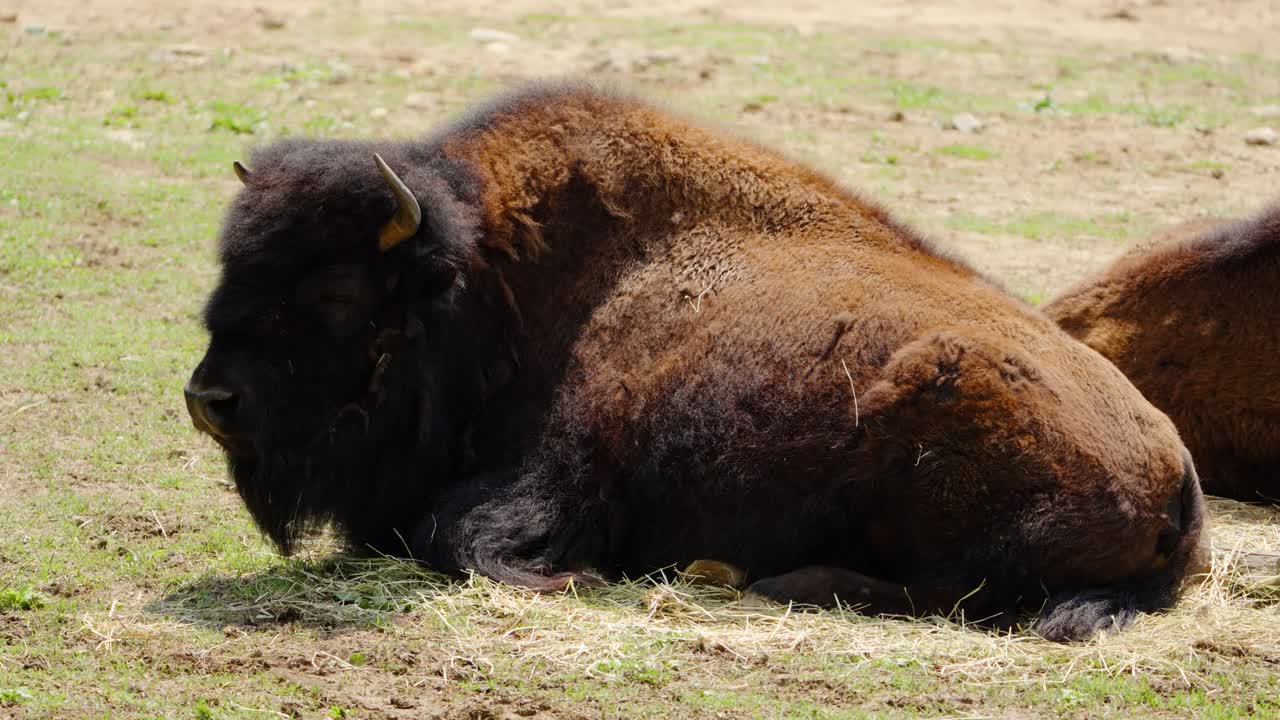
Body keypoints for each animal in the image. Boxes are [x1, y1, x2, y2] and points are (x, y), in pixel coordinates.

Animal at [186, 83, 1206, 641]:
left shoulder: (562, 482)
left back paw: (766, 581)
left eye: (335, 292)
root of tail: (1178, 477)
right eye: (230, 265)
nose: (209, 398)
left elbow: (457, 535)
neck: (490, 278)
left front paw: (575, 580)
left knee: (952, 594)